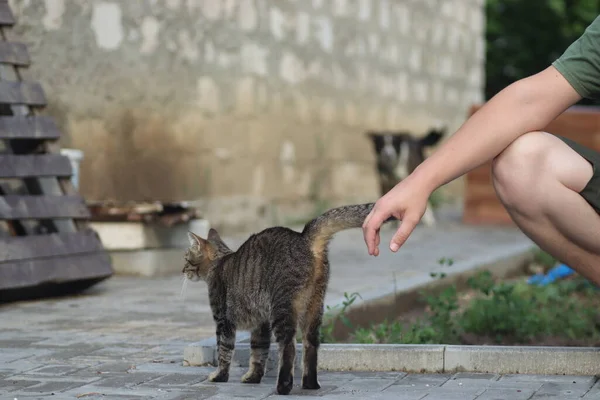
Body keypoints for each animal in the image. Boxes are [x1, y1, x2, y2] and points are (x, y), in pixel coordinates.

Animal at [180, 202, 392, 396]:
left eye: (186, 258)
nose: (181, 270)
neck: (219, 261)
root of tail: (303, 238)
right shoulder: (260, 324)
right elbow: (258, 352)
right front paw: (253, 377)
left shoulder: (224, 321)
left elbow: (224, 351)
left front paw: (219, 376)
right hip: (314, 308)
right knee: (310, 346)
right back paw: (310, 383)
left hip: (282, 309)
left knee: (289, 347)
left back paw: (283, 386)